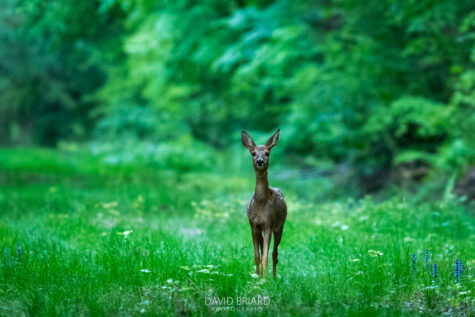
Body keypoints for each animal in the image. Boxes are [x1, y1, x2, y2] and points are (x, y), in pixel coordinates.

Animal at [242, 128, 286, 276]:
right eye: (253, 153)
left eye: (267, 153)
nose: (260, 161)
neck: (260, 202)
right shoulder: (253, 225)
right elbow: (257, 256)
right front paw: (257, 277)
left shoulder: (268, 224)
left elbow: (266, 256)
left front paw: (265, 279)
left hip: (279, 226)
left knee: (274, 254)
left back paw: (273, 278)